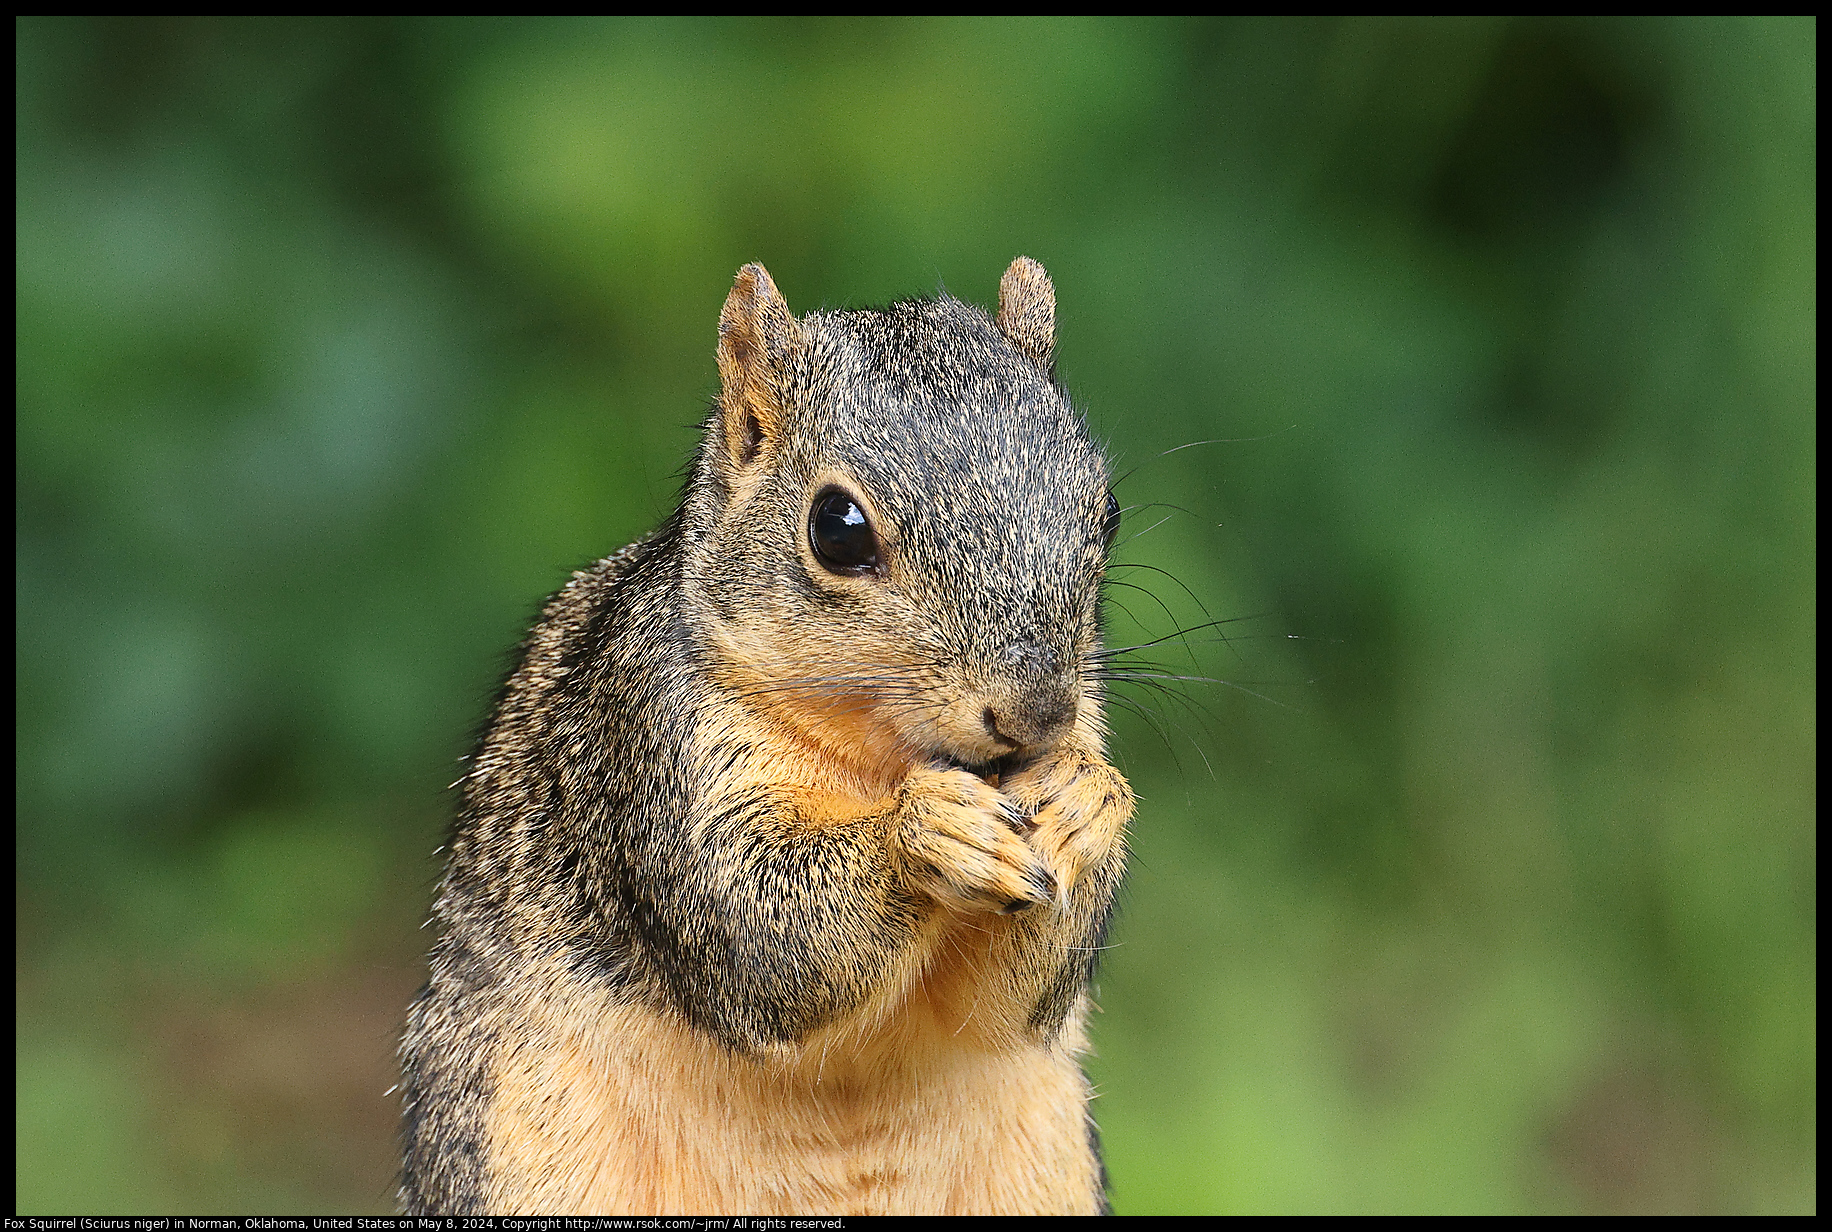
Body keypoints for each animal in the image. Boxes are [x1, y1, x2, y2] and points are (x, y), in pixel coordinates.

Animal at [404, 256, 1128, 1210]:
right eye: (837, 529)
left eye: (1107, 510)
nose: (1037, 714)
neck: (880, 760)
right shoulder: (650, 744)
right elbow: (755, 933)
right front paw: (925, 833)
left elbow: (1012, 1007)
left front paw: (1087, 799)